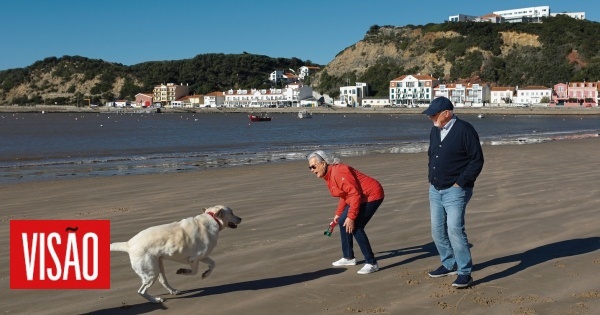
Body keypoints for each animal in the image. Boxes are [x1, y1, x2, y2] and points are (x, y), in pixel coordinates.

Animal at [111, 205, 243, 304]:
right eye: (232, 213)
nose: (241, 218)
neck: (212, 218)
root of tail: (129, 244)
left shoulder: (202, 256)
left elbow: (213, 263)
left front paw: (206, 274)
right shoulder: (194, 259)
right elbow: (194, 272)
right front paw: (183, 271)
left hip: (158, 266)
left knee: (163, 281)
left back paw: (173, 291)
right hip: (151, 272)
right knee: (141, 291)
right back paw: (155, 300)